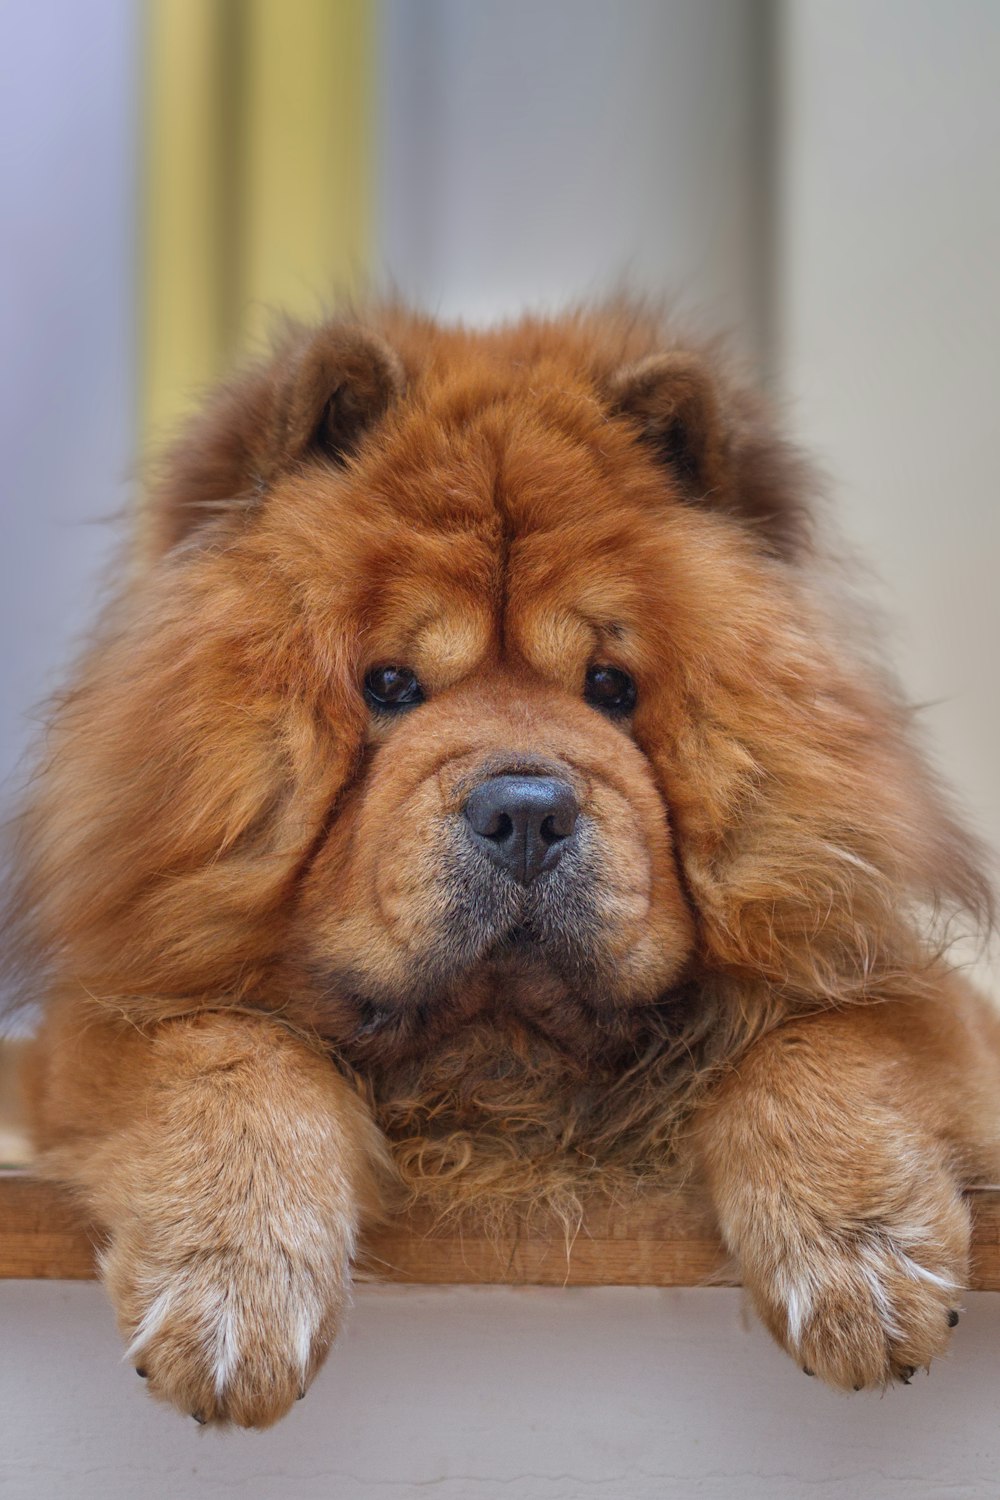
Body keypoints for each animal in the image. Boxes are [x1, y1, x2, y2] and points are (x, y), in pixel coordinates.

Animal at [3, 304, 995, 1428]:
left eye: (611, 687)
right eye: (388, 684)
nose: (525, 812)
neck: (496, 1065)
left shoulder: (900, 986)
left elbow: (825, 1041)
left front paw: (866, 1273)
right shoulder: (108, 1014)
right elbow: (224, 1054)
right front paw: (229, 1305)